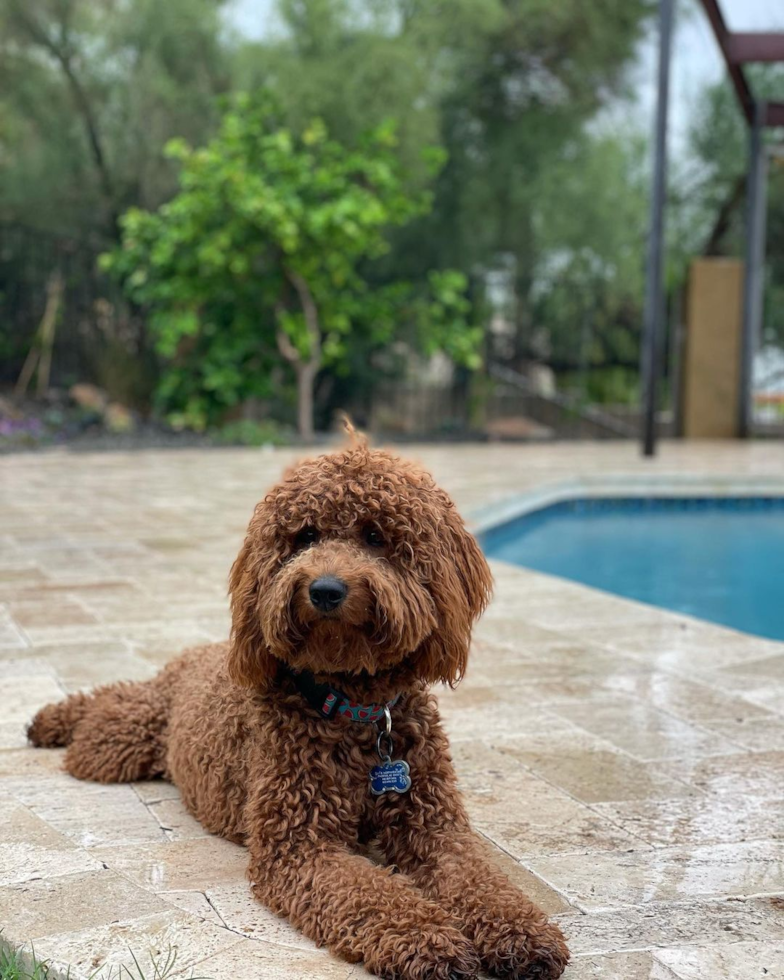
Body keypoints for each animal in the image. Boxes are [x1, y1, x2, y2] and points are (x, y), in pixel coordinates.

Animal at [29, 438, 568, 980]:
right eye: (304, 536)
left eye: (375, 536)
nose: (325, 589)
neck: (355, 712)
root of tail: (191, 657)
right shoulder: (300, 847)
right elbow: (375, 895)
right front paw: (427, 940)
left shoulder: (436, 830)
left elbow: (482, 883)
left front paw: (521, 933)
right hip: (121, 742)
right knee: (105, 709)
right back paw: (49, 722)